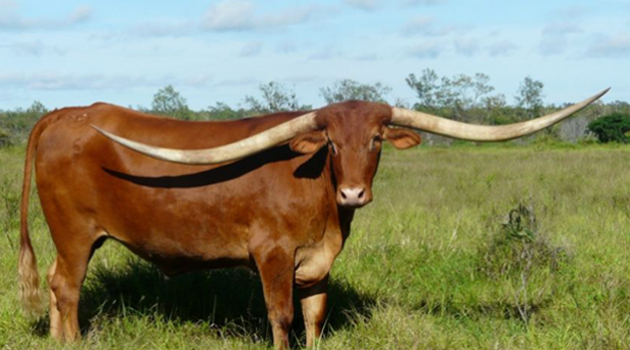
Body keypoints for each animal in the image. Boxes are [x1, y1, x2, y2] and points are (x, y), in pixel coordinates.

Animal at [19, 89, 608, 348]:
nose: (352, 192)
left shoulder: (318, 262)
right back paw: (71, 343)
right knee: (67, 288)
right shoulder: (272, 255)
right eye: (330, 143)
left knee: (53, 284)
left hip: (74, 238)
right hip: (74, 234)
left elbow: (315, 316)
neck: (323, 206)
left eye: (375, 140)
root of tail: (65, 114)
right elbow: (281, 318)